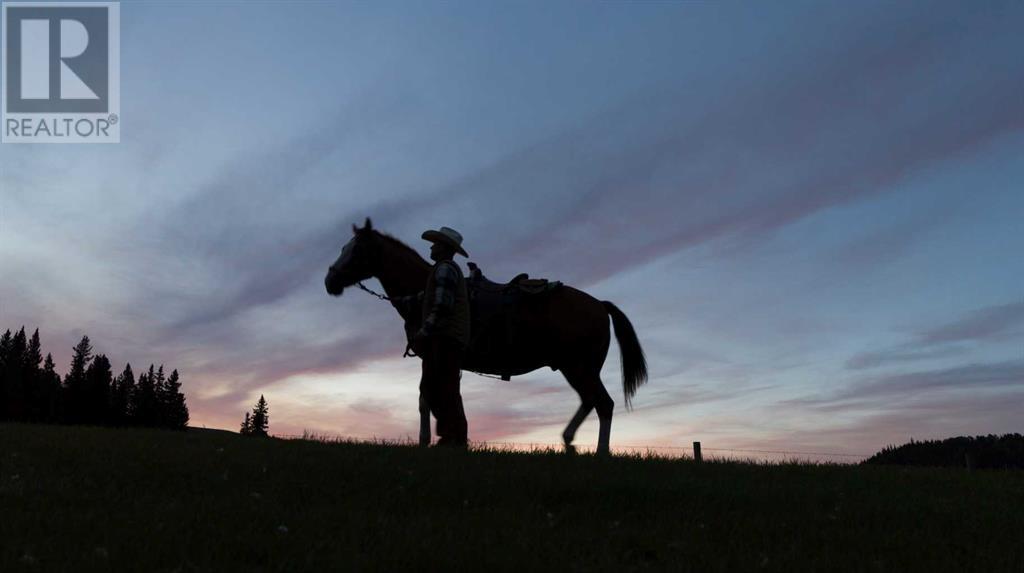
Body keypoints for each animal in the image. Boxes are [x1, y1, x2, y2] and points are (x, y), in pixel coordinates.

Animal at [325, 216, 647, 454]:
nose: (330, 281)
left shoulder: (432, 354)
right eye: (343, 247)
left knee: (603, 404)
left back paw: (600, 452)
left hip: (579, 367)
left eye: (356, 250)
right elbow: (436, 396)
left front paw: (427, 441)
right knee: (590, 401)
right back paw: (568, 440)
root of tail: (600, 306)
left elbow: (427, 397)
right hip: (576, 368)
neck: (424, 288)